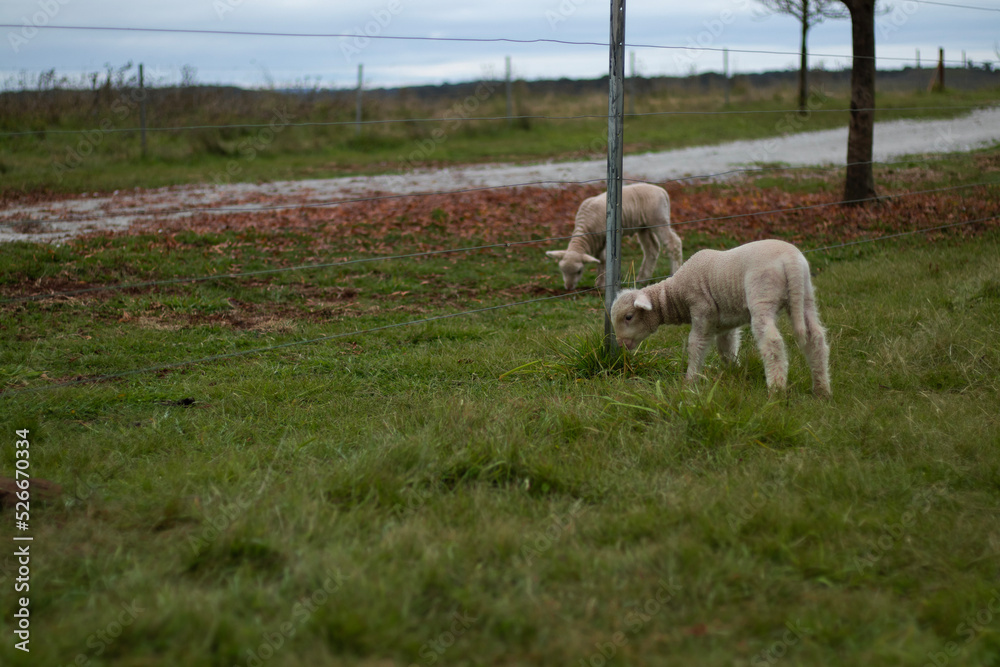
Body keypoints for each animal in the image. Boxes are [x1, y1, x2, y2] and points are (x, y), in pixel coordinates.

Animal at [546, 183, 683, 293]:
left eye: (579, 271)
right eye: (562, 270)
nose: (568, 288)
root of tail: (662, 191)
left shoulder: (606, 237)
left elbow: (604, 258)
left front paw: (602, 285)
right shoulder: (597, 240)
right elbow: (599, 259)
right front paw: (599, 282)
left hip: (658, 219)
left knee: (673, 243)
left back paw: (674, 272)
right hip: (644, 226)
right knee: (651, 249)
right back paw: (641, 279)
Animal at [610, 239, 831, 397]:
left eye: (628, 317)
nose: (620, 344)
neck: (675, 294)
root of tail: (791, 261)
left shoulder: (702, 310)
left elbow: (695, 345)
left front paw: (690, 381)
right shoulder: (725, 323)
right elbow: (726, 347)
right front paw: (734, 370)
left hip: (762, 295)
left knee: (772, 342)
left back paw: (776, 389)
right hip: (805, 296)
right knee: (816, 338)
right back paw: (821, 389)